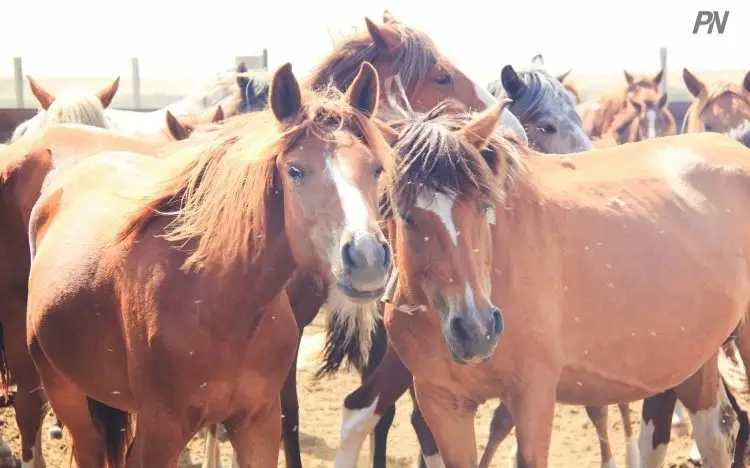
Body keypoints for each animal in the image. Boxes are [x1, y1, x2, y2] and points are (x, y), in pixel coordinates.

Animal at [24, 61, 393, 468]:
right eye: (295, 170)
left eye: (375, 169)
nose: (367, 257)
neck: (217, 300)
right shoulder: (162, 432)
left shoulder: (258, 425)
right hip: (65, 392)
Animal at [380, 123, 750, 468]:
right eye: (407, 217)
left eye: (484, 206)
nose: (476, 330)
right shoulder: (442, 402)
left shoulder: (533, 393)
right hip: (693, 352)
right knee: (714, 432)